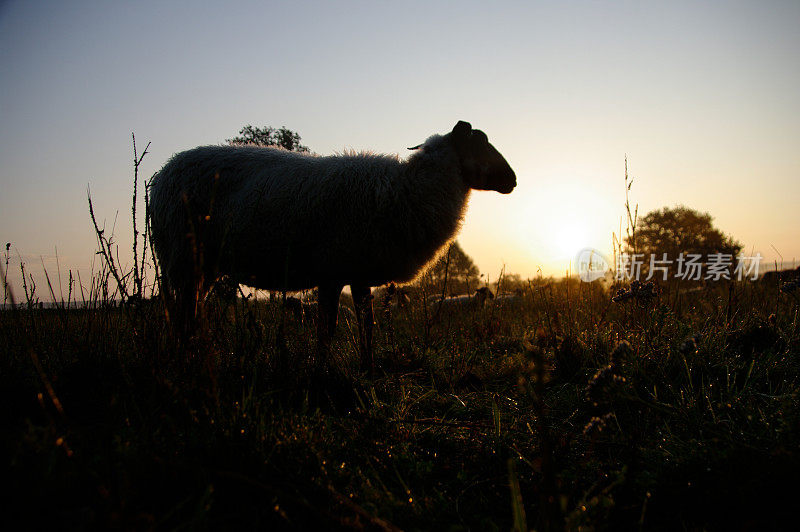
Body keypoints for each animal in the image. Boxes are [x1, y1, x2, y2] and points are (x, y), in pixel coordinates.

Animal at [147, 121, 516, 372]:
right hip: (182, 259)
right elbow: (327, 328)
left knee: (191, 314)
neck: (408, 190)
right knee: (182, 317)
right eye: (478, 143)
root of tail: (162, 173)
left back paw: (194, 356)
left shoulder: (359, 272)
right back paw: (186, 361)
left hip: (201, 267)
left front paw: (368, 368)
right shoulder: (331, 271)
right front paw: (321, 370)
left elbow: (367, 324)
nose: (513, 180)